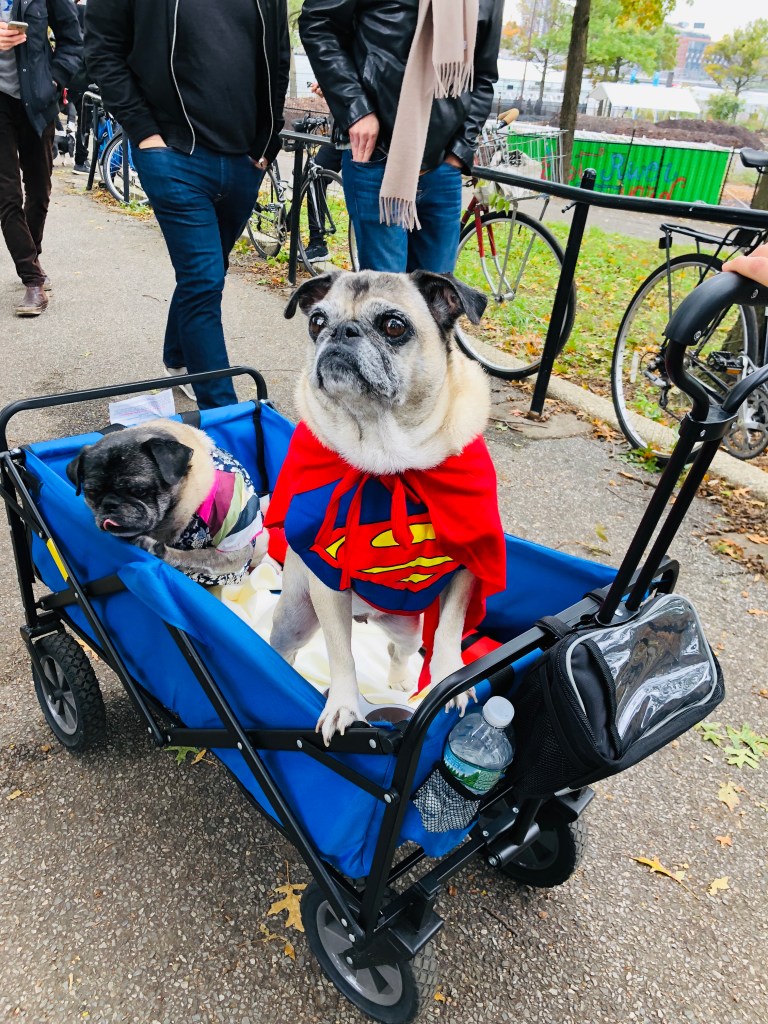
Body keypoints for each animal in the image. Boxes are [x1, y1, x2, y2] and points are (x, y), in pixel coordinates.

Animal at [66, 419, 266, 585]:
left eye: (140, 491)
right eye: (91, 493)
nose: (110, 504)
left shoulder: (235, 550)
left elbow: (199, 556)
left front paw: (162, 551)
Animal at [265, 270, 507, 744]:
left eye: (394, 326)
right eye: (316, 322)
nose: (340, 331)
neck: (386, 459)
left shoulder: (467, 566)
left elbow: (448, 631)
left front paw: (448, 679)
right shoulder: (328, 580)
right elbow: (342, 656)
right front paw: (343, 704)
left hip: (407, 627)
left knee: (401, 650)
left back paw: (399, 680)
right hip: (295, 616)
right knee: (287, 650)